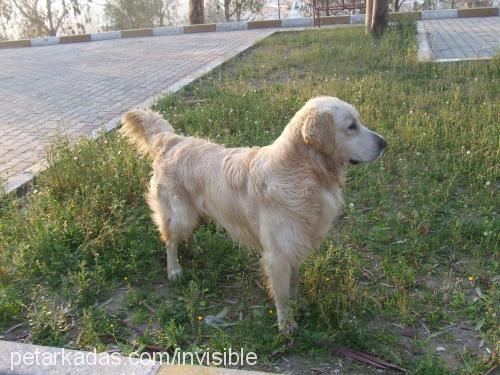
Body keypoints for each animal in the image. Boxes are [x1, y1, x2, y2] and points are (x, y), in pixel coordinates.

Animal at [121, 97, 386, 334]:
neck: (303, 172)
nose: (384, 143)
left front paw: (298, 302)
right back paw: (174, 270)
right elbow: (281, 294)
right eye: (351, 126)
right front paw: (286, 324)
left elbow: (293, 282)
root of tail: (170, 140)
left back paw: (195, 249)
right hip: (180, 214)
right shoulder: (277, 255)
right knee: (170, 239)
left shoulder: (295, 244)